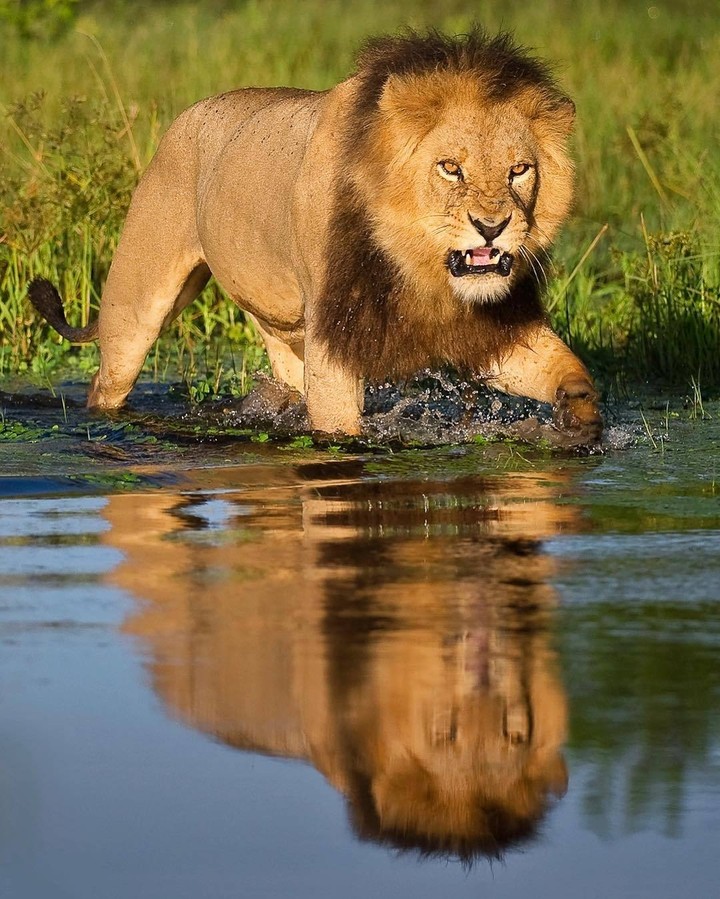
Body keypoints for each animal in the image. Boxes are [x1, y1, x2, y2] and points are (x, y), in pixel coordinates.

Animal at [28, 29, 602, 445]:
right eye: (450, 168)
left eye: (519, 170)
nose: (492, 227)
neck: (420, 267)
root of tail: (186, 116)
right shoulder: (335, 334)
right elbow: (339, 429)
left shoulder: (490, 328)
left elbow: (565, 368)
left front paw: (580, 417)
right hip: (136, 308)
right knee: (107, 380)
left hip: (280, 326)